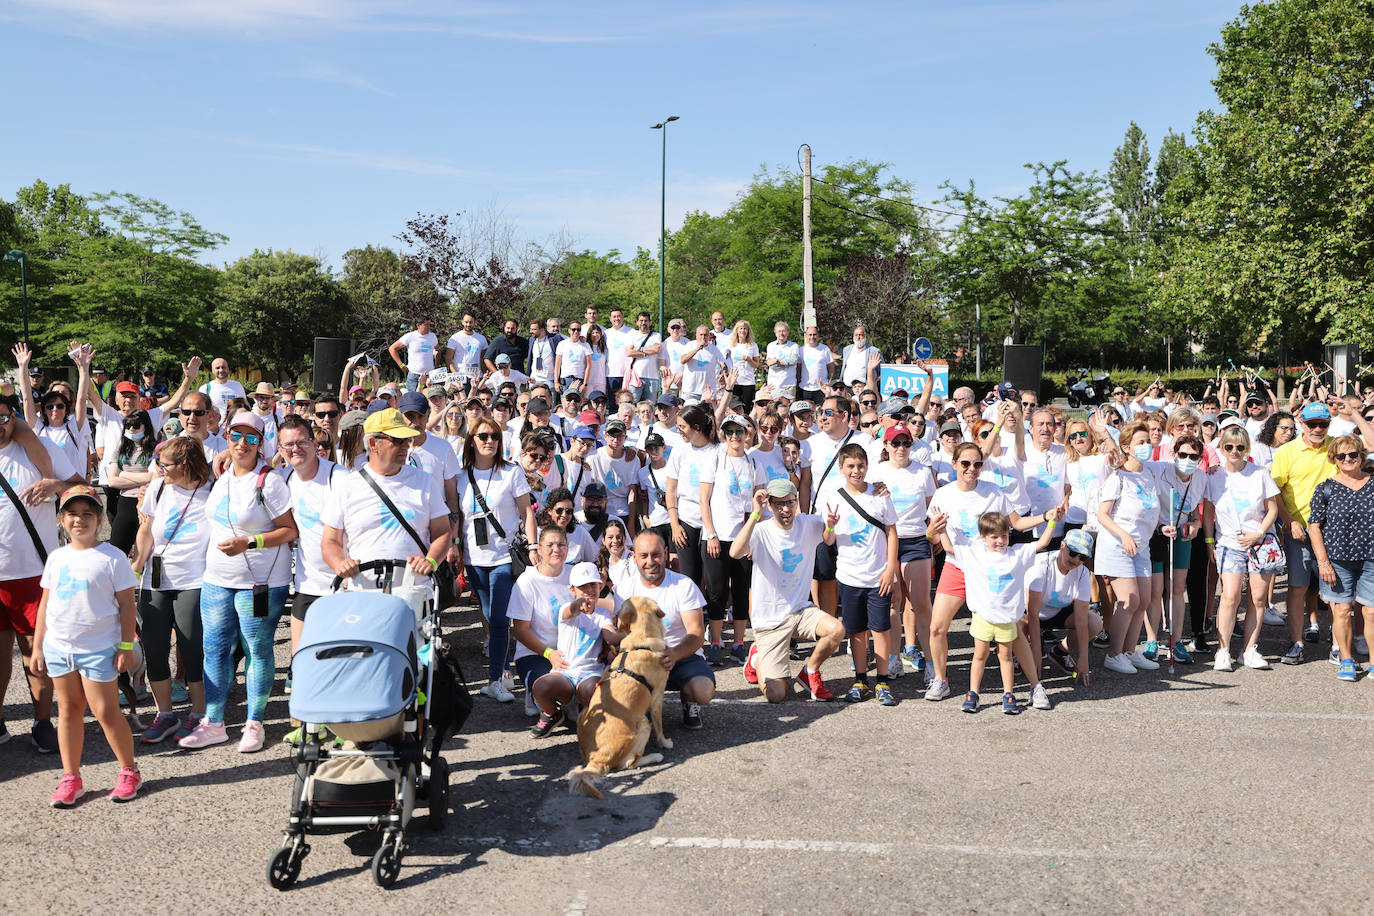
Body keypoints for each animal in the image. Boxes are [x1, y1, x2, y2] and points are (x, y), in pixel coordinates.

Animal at [566, 598, 673, 796]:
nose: (614, 613)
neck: (641, 638)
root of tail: (598, 757)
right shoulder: (657, 698)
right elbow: (660, 727)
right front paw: (664, 743)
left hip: (585, 711)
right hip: (643, 723)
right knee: (630, 763)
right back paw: (655, 756)